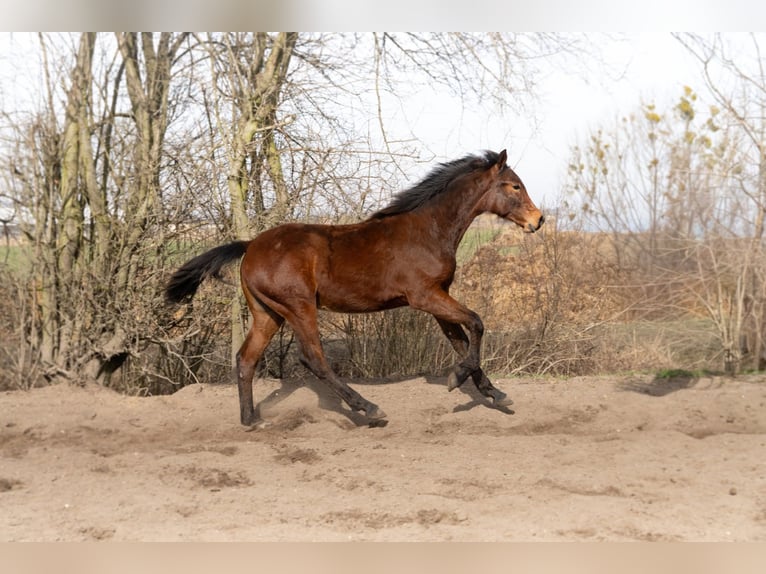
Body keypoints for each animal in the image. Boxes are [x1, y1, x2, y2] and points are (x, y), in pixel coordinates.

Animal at [165, 149, 544, 426]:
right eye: (514, 186)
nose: (538, 220)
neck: (428, 229)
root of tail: (250, 246)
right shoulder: (425, 296)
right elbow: (476, 323)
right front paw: (458, 379)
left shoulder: (439, 296)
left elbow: (461, 339)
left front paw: (492, 392)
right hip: (298, 306)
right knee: (313, 358)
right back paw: (368, 408)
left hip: (268, 313)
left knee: (246, 359)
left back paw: (250, 420)